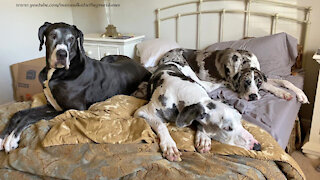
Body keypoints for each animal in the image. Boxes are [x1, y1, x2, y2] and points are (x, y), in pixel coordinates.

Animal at [134, 51, 262, 162]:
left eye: (240, 119)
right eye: (227, 128)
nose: (257, 146)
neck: (184, 92)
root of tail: (171, 60)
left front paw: (203, 138)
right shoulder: (142, 112)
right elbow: (161, 125)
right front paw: (169, 146)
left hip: (200, 81)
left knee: (214, 85)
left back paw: (226, 83)